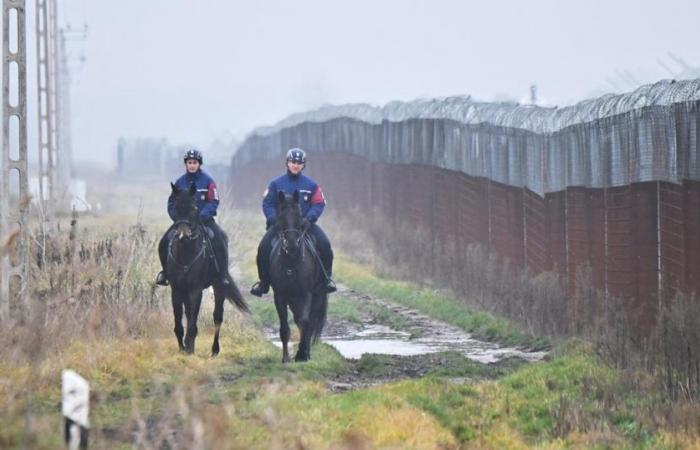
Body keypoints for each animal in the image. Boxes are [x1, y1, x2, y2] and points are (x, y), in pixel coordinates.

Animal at [166, 183, 249, 356]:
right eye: (175, 207)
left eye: (194, 208)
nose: (183, 234)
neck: (186, 254)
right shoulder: (176, 289)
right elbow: (179, 321)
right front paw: (182, 347)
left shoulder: (196, 290)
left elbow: (192, 320)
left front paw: (190, 348)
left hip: (219, 286)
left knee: (217, 316)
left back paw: (215, 350)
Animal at [272, 190, 330, 362]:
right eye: (281, 216)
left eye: (299, 216)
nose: (291, 244)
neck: (292, 263)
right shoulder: (280, 295)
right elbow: (285, 327)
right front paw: (286, 358)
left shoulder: (306, 294)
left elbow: (305, 322)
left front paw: (302, 354)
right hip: (293, 299)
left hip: (317, 295)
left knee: (309, 322)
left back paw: (306, 352)